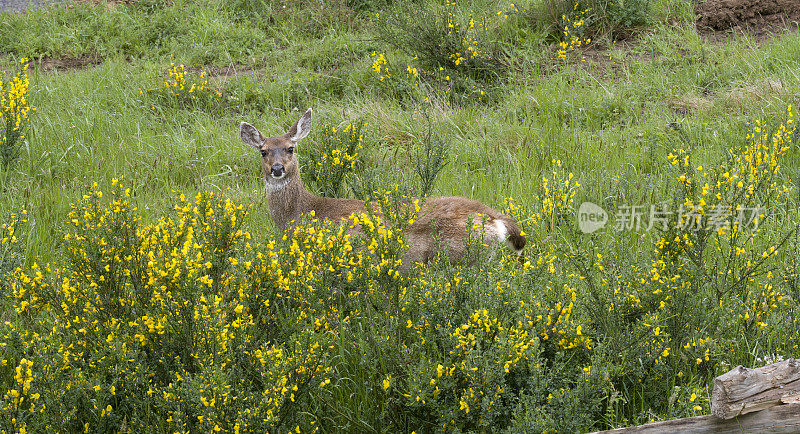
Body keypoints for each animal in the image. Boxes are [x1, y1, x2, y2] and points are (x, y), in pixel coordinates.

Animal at [239, 108, 524, 268]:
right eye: (263, 151)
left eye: (290, 148)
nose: (277, 168)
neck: (300, 213)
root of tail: (494, 218)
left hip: (460, 258)